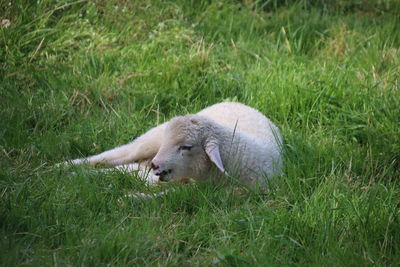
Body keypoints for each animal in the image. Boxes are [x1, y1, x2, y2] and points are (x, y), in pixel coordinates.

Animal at [61, 102, 282, 188]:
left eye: (187, 147)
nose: (155, 164)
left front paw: (133, 197)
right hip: (149, 140)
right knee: (113, 155)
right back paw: (63, 167)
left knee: (128, 169)